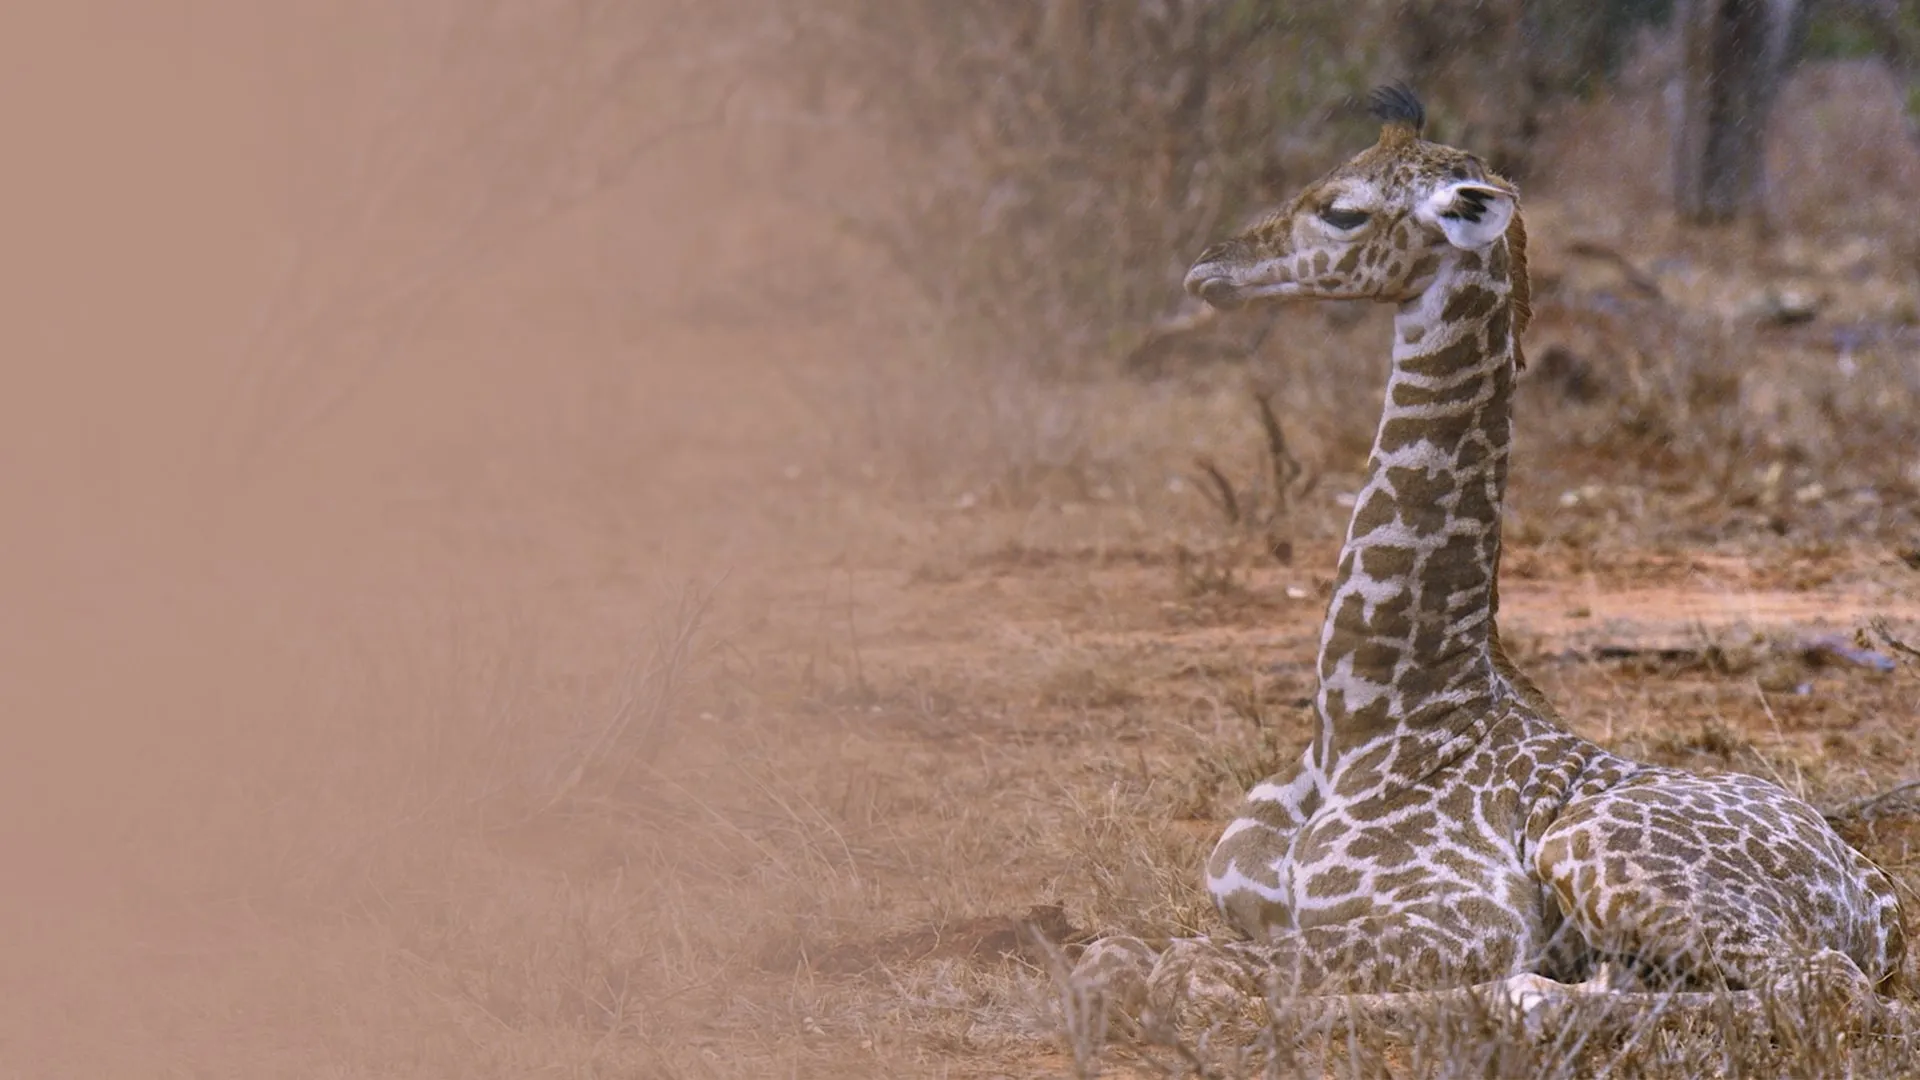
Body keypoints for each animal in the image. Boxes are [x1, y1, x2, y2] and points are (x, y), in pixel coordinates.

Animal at [1073, 85, 1906, 1029]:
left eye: (1343, 210)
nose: (1212, 266)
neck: (1361, 718)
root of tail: (1881, 903)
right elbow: (1113, 955)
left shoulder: (1464, 917)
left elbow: (1201, 973)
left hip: (1593, 847)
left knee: (1821, 989)